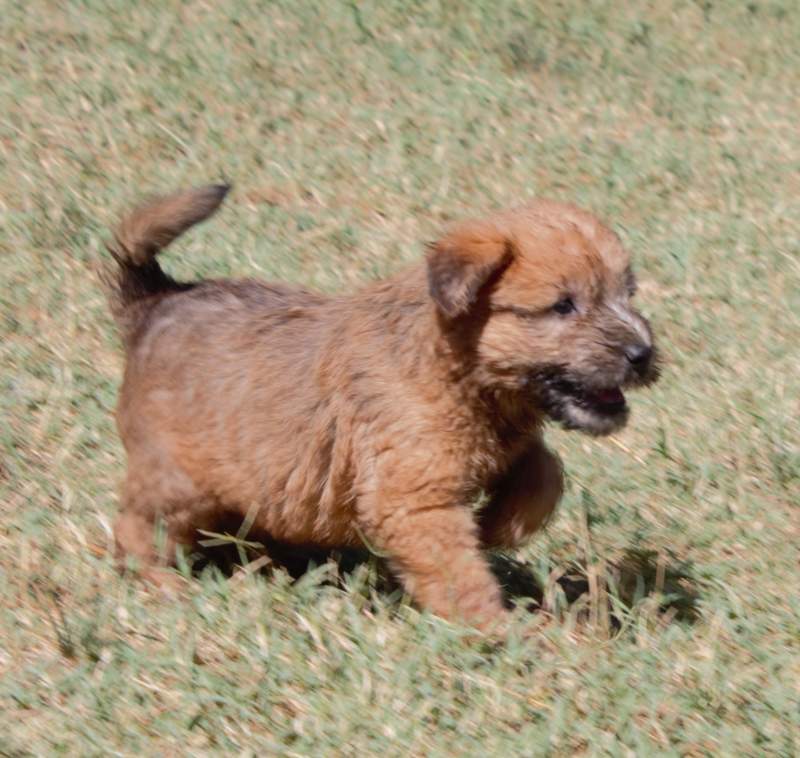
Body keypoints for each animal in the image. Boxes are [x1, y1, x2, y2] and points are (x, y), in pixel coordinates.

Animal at [108, 187, 656, 632]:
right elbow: (458, 572)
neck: (454, 369)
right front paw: (496, 628)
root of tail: (158, 299)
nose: (644, 353)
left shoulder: (508, 443)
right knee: (137, 528)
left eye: (627, 293)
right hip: (176, 479)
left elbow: (545, 472)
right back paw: (163, 583)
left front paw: (498, 525)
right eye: (563, 305)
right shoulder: (415, 500)